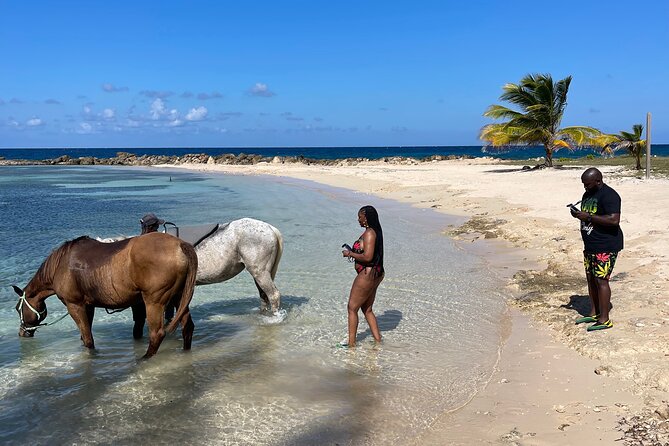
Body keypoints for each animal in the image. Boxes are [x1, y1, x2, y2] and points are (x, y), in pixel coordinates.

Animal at [13, 232, 197, 358]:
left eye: (17, 308)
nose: (22, 333)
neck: (60, 265)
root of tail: (180, 245)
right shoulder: (88, 306)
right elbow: (85, 335)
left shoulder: (75, 305)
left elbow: (88, 339)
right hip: (178, 297)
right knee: (187, 326)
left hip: (154, 302)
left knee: (157, 334)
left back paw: (145, 358)